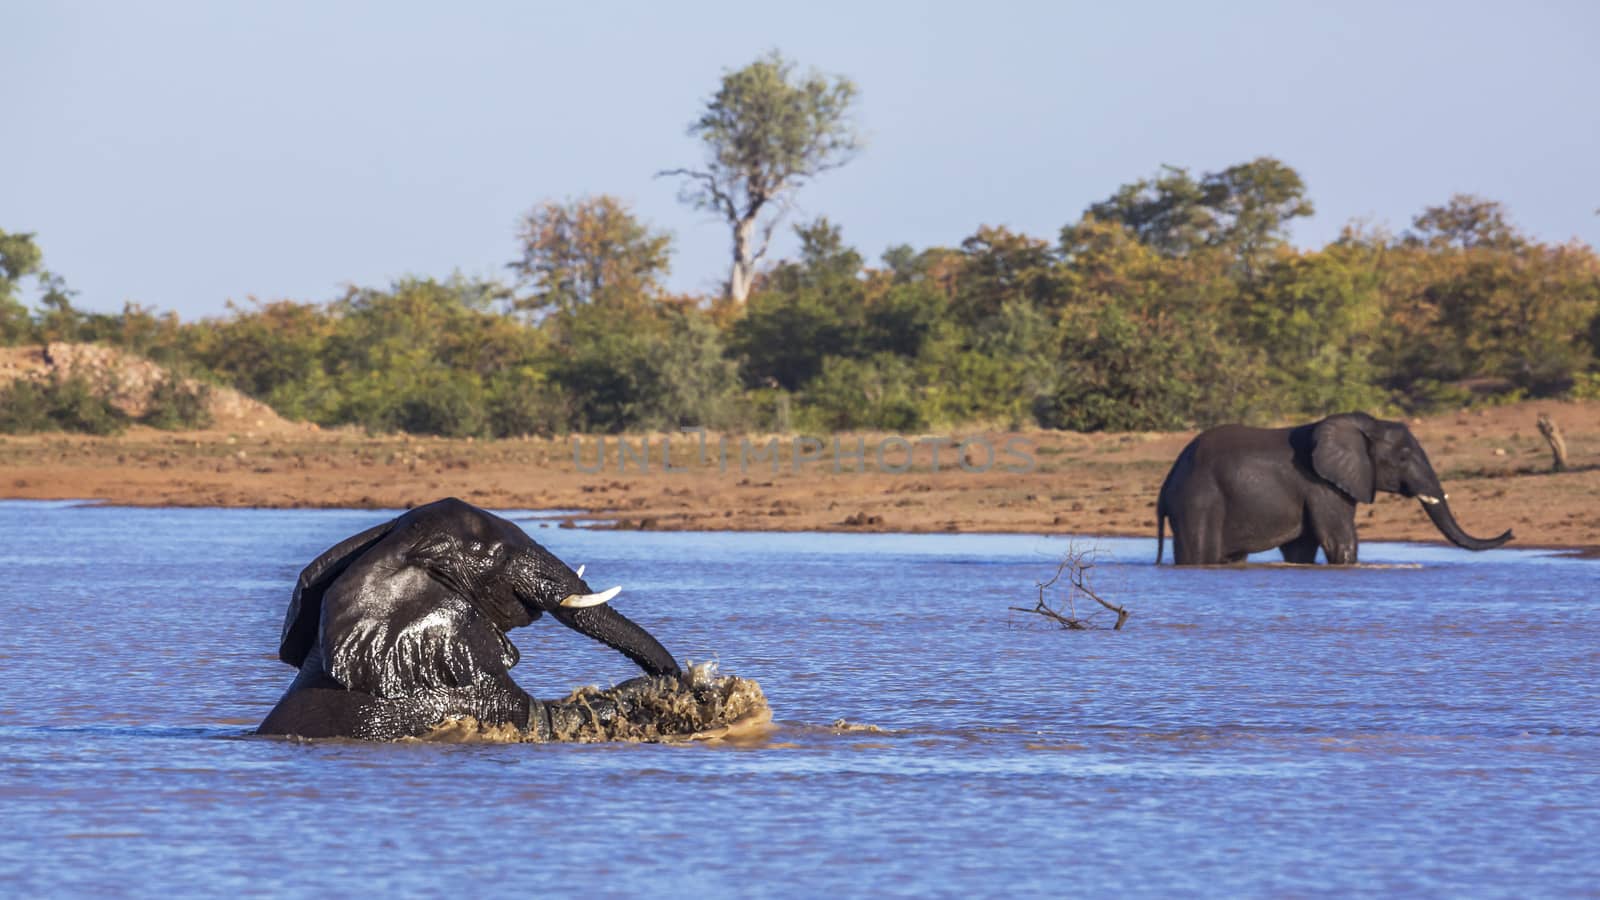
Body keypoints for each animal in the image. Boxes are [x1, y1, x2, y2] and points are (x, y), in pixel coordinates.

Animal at [1152, 413, 1510, 563]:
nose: (1510, 532)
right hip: (1198, 502)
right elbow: (1340, 542)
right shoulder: (1322, 486)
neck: (1365, 426)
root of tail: (1166, 484)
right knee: (1200, 552)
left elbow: (1301, 549)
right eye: (1404, 457)